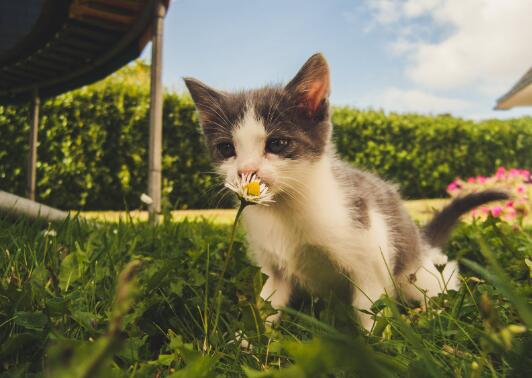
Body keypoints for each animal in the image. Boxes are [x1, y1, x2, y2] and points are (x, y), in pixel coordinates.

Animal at [185, 53, 510, 330]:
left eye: (276, 144)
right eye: (227, 148)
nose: (246, 171)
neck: (287, 209)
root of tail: (422, 241)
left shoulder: (370, 253)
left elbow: (369, 309)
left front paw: (377, 348)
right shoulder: (274, 268)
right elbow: (268, 304)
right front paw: (248, 341)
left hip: (415, 271)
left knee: (440, 279)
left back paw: (433, 312)